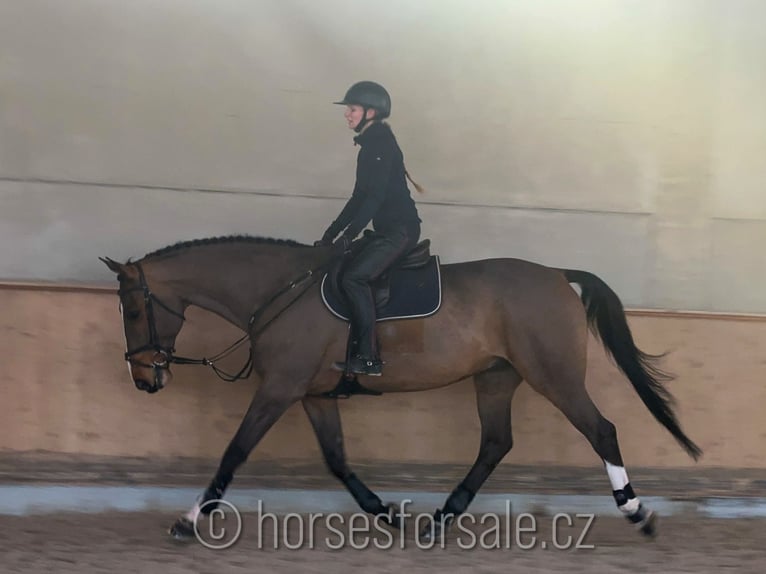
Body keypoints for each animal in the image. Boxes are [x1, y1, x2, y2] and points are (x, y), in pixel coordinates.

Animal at [100, 234, 701, 543]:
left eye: (133, 308)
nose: (143, 378)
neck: (279, 290)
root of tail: (556, 273)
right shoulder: (312, 393)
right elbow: (338, 460)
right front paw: (386, 513)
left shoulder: (279, 389)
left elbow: (235, 451)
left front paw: (188, 520)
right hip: (496, 377)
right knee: (495, 443)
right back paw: (440, 519)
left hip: (553, 374)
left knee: (601, 429)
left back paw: (636, 511)